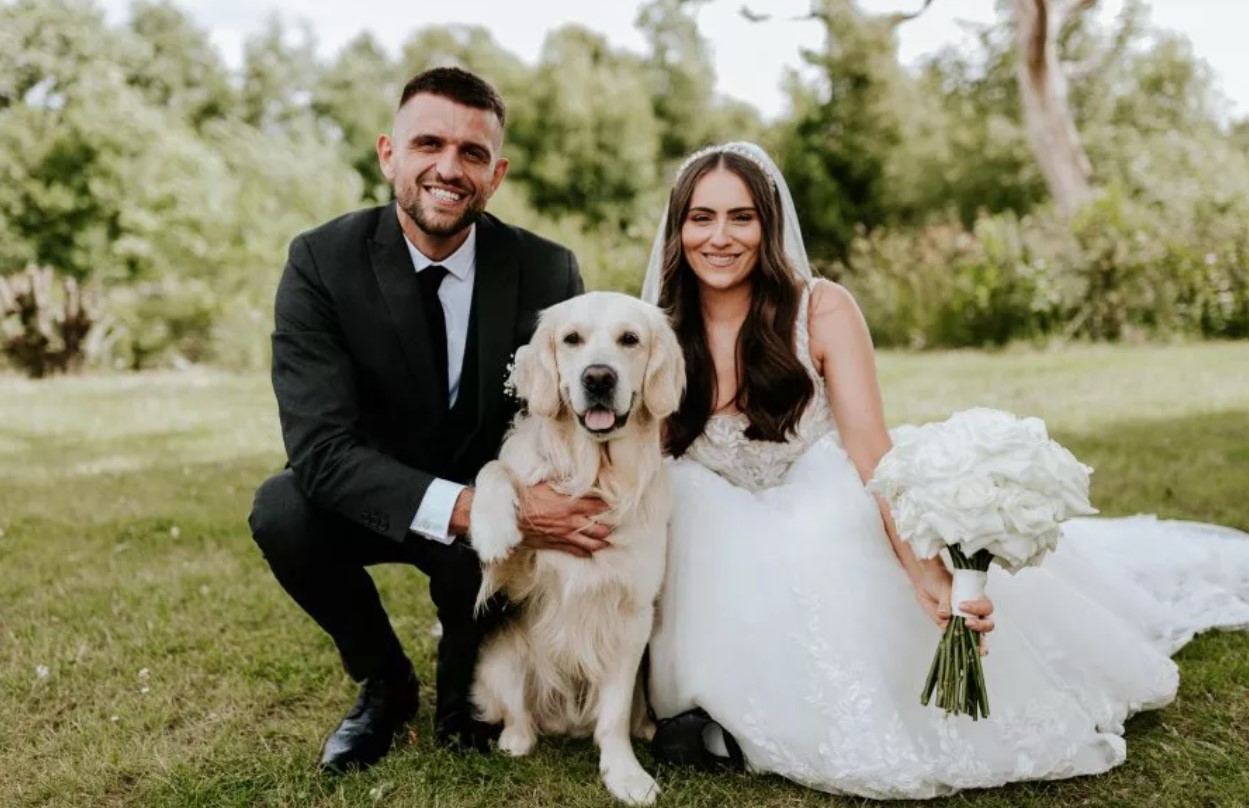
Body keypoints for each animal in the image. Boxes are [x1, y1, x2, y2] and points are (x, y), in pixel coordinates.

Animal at [469, 293, 684, 804]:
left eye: (630, 339)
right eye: (571, 339)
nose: (599, 377)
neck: (596, 473)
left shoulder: (633, 615)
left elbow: (613, 716)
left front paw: (624, 774)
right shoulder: (518, 582)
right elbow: (496, 468)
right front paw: (491, 526)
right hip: (503, 656)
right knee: (517, 714)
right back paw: (516, 739)